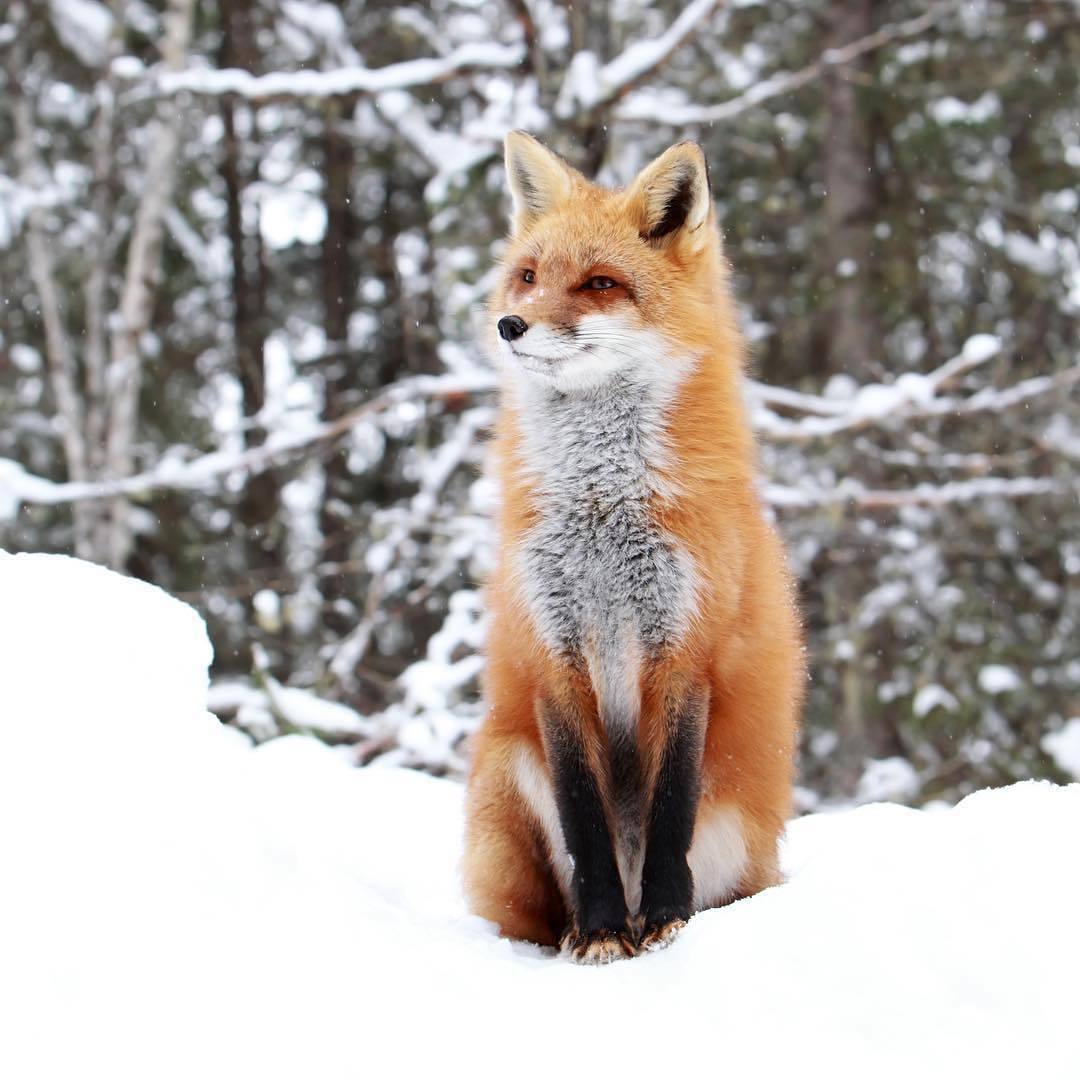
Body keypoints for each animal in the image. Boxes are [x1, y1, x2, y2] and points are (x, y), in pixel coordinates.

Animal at [460, 130, 807, 967]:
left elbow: (669, 810)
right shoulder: (552, 650)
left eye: (599, 284)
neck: (602, 509)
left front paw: (665, 921)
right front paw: (602, 930)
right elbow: (584, 816)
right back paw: (568, 934)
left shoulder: (684, 647)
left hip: (735, 828)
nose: (510, 325)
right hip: (508, 764)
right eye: (528, 276)